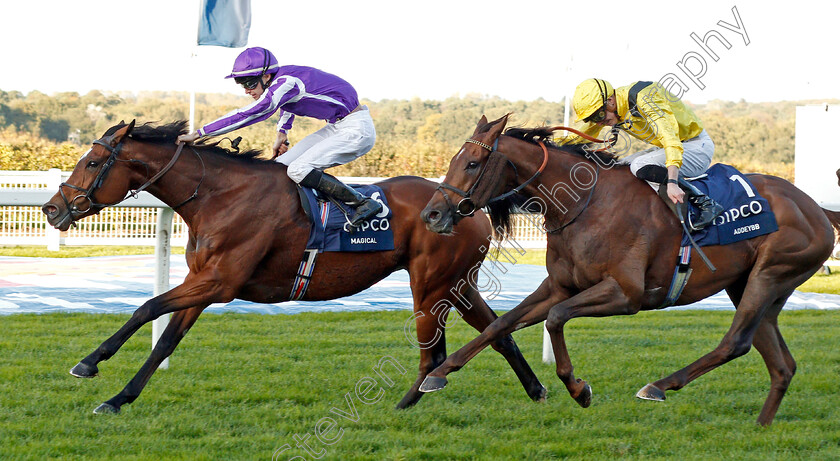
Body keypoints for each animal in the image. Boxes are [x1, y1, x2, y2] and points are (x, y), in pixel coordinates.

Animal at [42, 120, 548, 416]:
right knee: (497, 332)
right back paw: (538, 391)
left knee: (436, 351)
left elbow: (145, 308)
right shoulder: (201, 282)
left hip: (432, 283)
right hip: (458, 282)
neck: (218, 196)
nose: (52, 209)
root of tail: (467, 206)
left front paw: (89, 364)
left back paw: (407, 404)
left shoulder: (219, 283)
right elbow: (166, 339)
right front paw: (118, 398)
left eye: (92, 161)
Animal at [420, 114, 840, 424]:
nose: (432, 214)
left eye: (472, 163)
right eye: (453, 161)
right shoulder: (559, 286)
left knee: (735, 342)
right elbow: (501, 324)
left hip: (770, 274)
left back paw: (658, 386)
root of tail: (816, 207)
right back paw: (760, 426)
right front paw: (436, 375)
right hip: (751, 285)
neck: (585, 204)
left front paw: (578, 388)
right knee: (781, 364)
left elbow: (556, 318)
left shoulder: (626, 293)